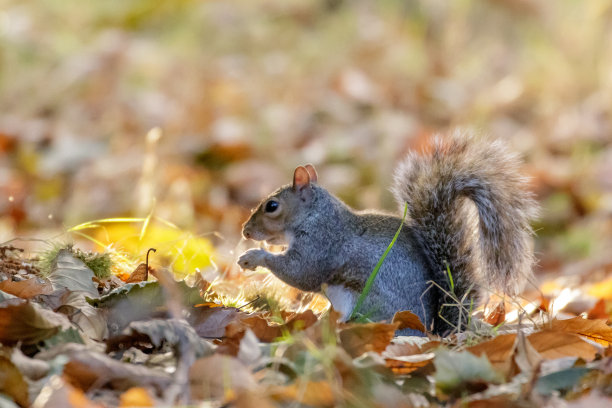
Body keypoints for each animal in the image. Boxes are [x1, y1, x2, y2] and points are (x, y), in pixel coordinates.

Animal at [238, 131, 536, 334]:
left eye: (272, 206)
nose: (246, 231)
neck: (316, 215)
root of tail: (429, 331)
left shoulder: (322, 244)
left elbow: (301, 273)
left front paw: (254, 257)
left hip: (368, 306)